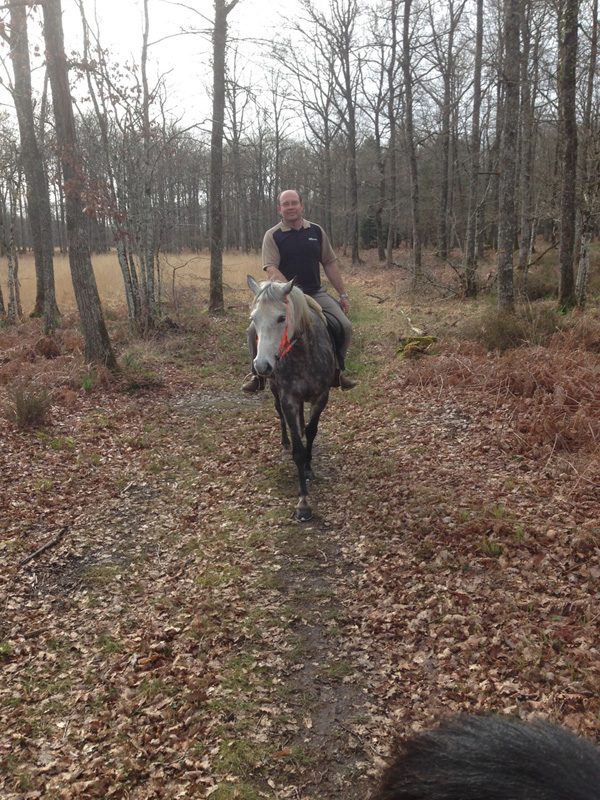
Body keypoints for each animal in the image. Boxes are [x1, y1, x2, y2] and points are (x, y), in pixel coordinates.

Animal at [247, 276, 336, 521]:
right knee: (280, 416)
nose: (262, 366)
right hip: (275, 391)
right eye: (254, 318)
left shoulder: (321, 397)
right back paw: (285, 445)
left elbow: (312, 431)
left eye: (281, 318)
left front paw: (309, 468)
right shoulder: (289, 400)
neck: (303, 355)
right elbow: (298, 450)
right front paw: (303, 503)